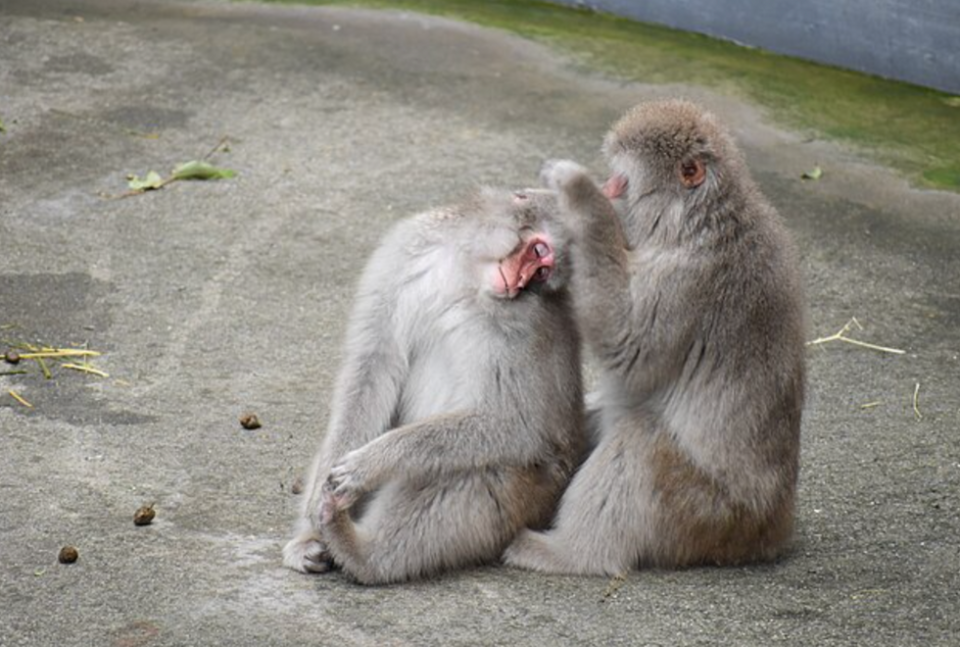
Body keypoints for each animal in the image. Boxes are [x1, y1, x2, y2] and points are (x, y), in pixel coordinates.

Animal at [284, 189, 584, 588]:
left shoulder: (524, 325)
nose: (518, 283)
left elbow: (516, 423)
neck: (467, 272)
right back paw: (316, 535)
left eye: (543, 273)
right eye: (539, 252)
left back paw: (362, 553)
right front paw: (319, 499)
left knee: (478, 466)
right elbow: (372, 364)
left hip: (529, 494)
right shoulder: (407, 246)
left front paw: (372, 463)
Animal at [506, 98, 808, 576]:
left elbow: (628, 343)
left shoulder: (690, 278)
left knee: (641, 442)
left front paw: (577, 195)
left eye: (618, 182)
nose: (605, 189)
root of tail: (770, 533)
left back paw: (574, 553)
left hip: (705, 513)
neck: (696, 223)